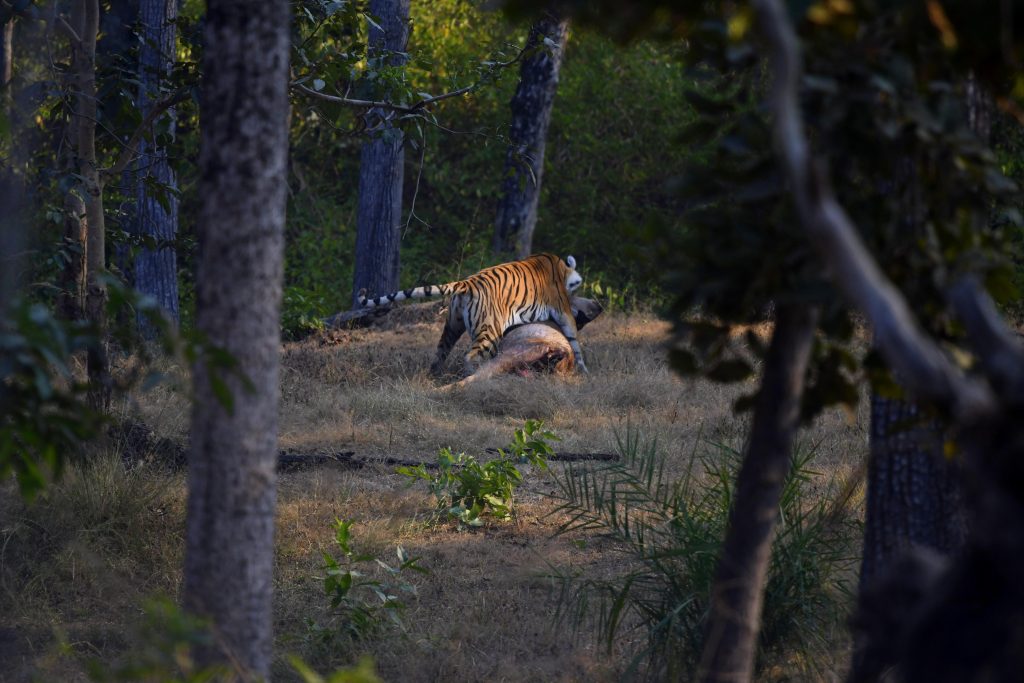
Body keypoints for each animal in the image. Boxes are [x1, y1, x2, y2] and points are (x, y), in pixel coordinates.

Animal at [358, 253, 589, 376]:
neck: (561, 268)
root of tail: (466, 283)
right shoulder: (562, 310)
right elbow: (574, 340)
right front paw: (584, 369)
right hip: (489, 332)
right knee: (471, 356)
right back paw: (475, 373)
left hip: (453, 325)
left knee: (441, 351)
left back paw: (434, 375)